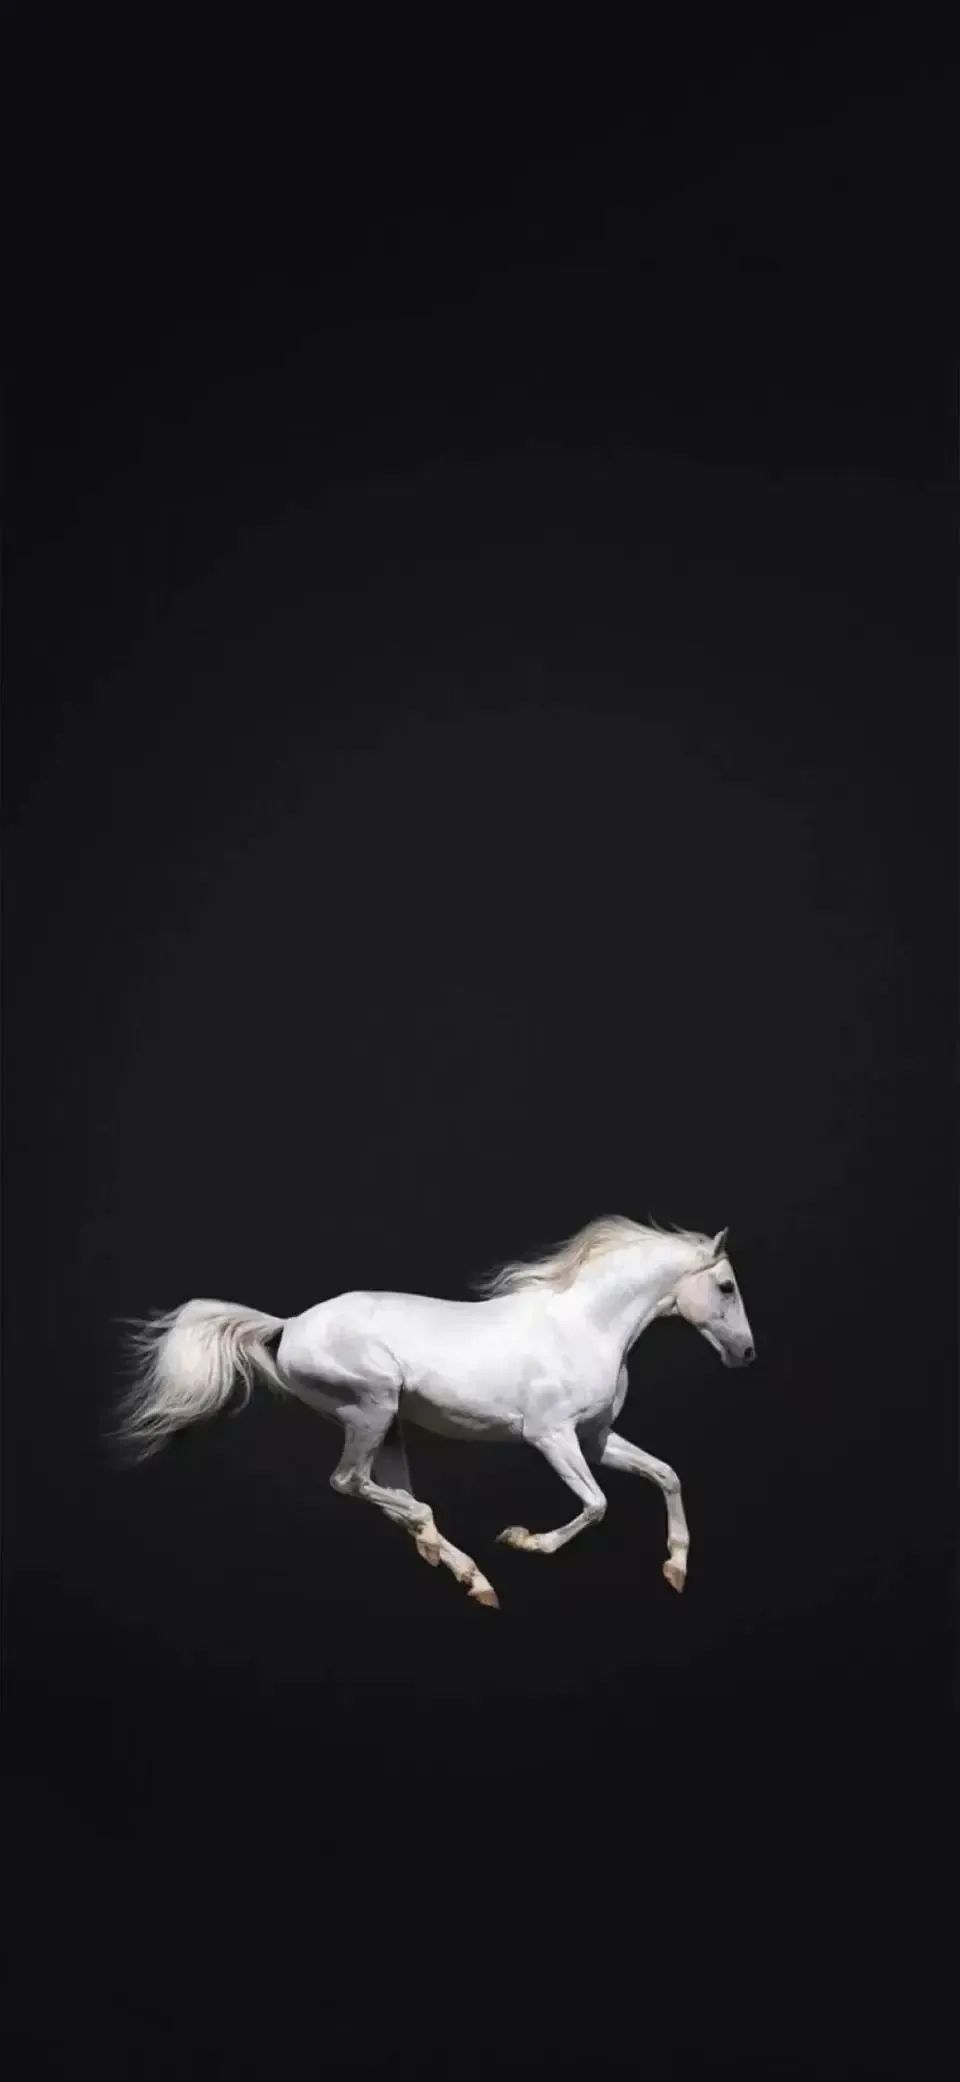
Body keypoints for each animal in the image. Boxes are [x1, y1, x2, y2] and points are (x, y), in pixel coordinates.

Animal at [113, 1215, 756, 1609]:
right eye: (726, 1286)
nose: (748, 1354)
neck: (586, 1325)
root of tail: (290, 1326)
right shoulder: (551, 1436)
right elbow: (596, 1505)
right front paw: (523, 1541)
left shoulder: (596, 1438)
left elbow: (666, 1474)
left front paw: (676, 1569)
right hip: (370, 1406)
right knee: (351, 1482)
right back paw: (455, 1556)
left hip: (387, 1425)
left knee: (384, 1491)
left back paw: (457, 1565)